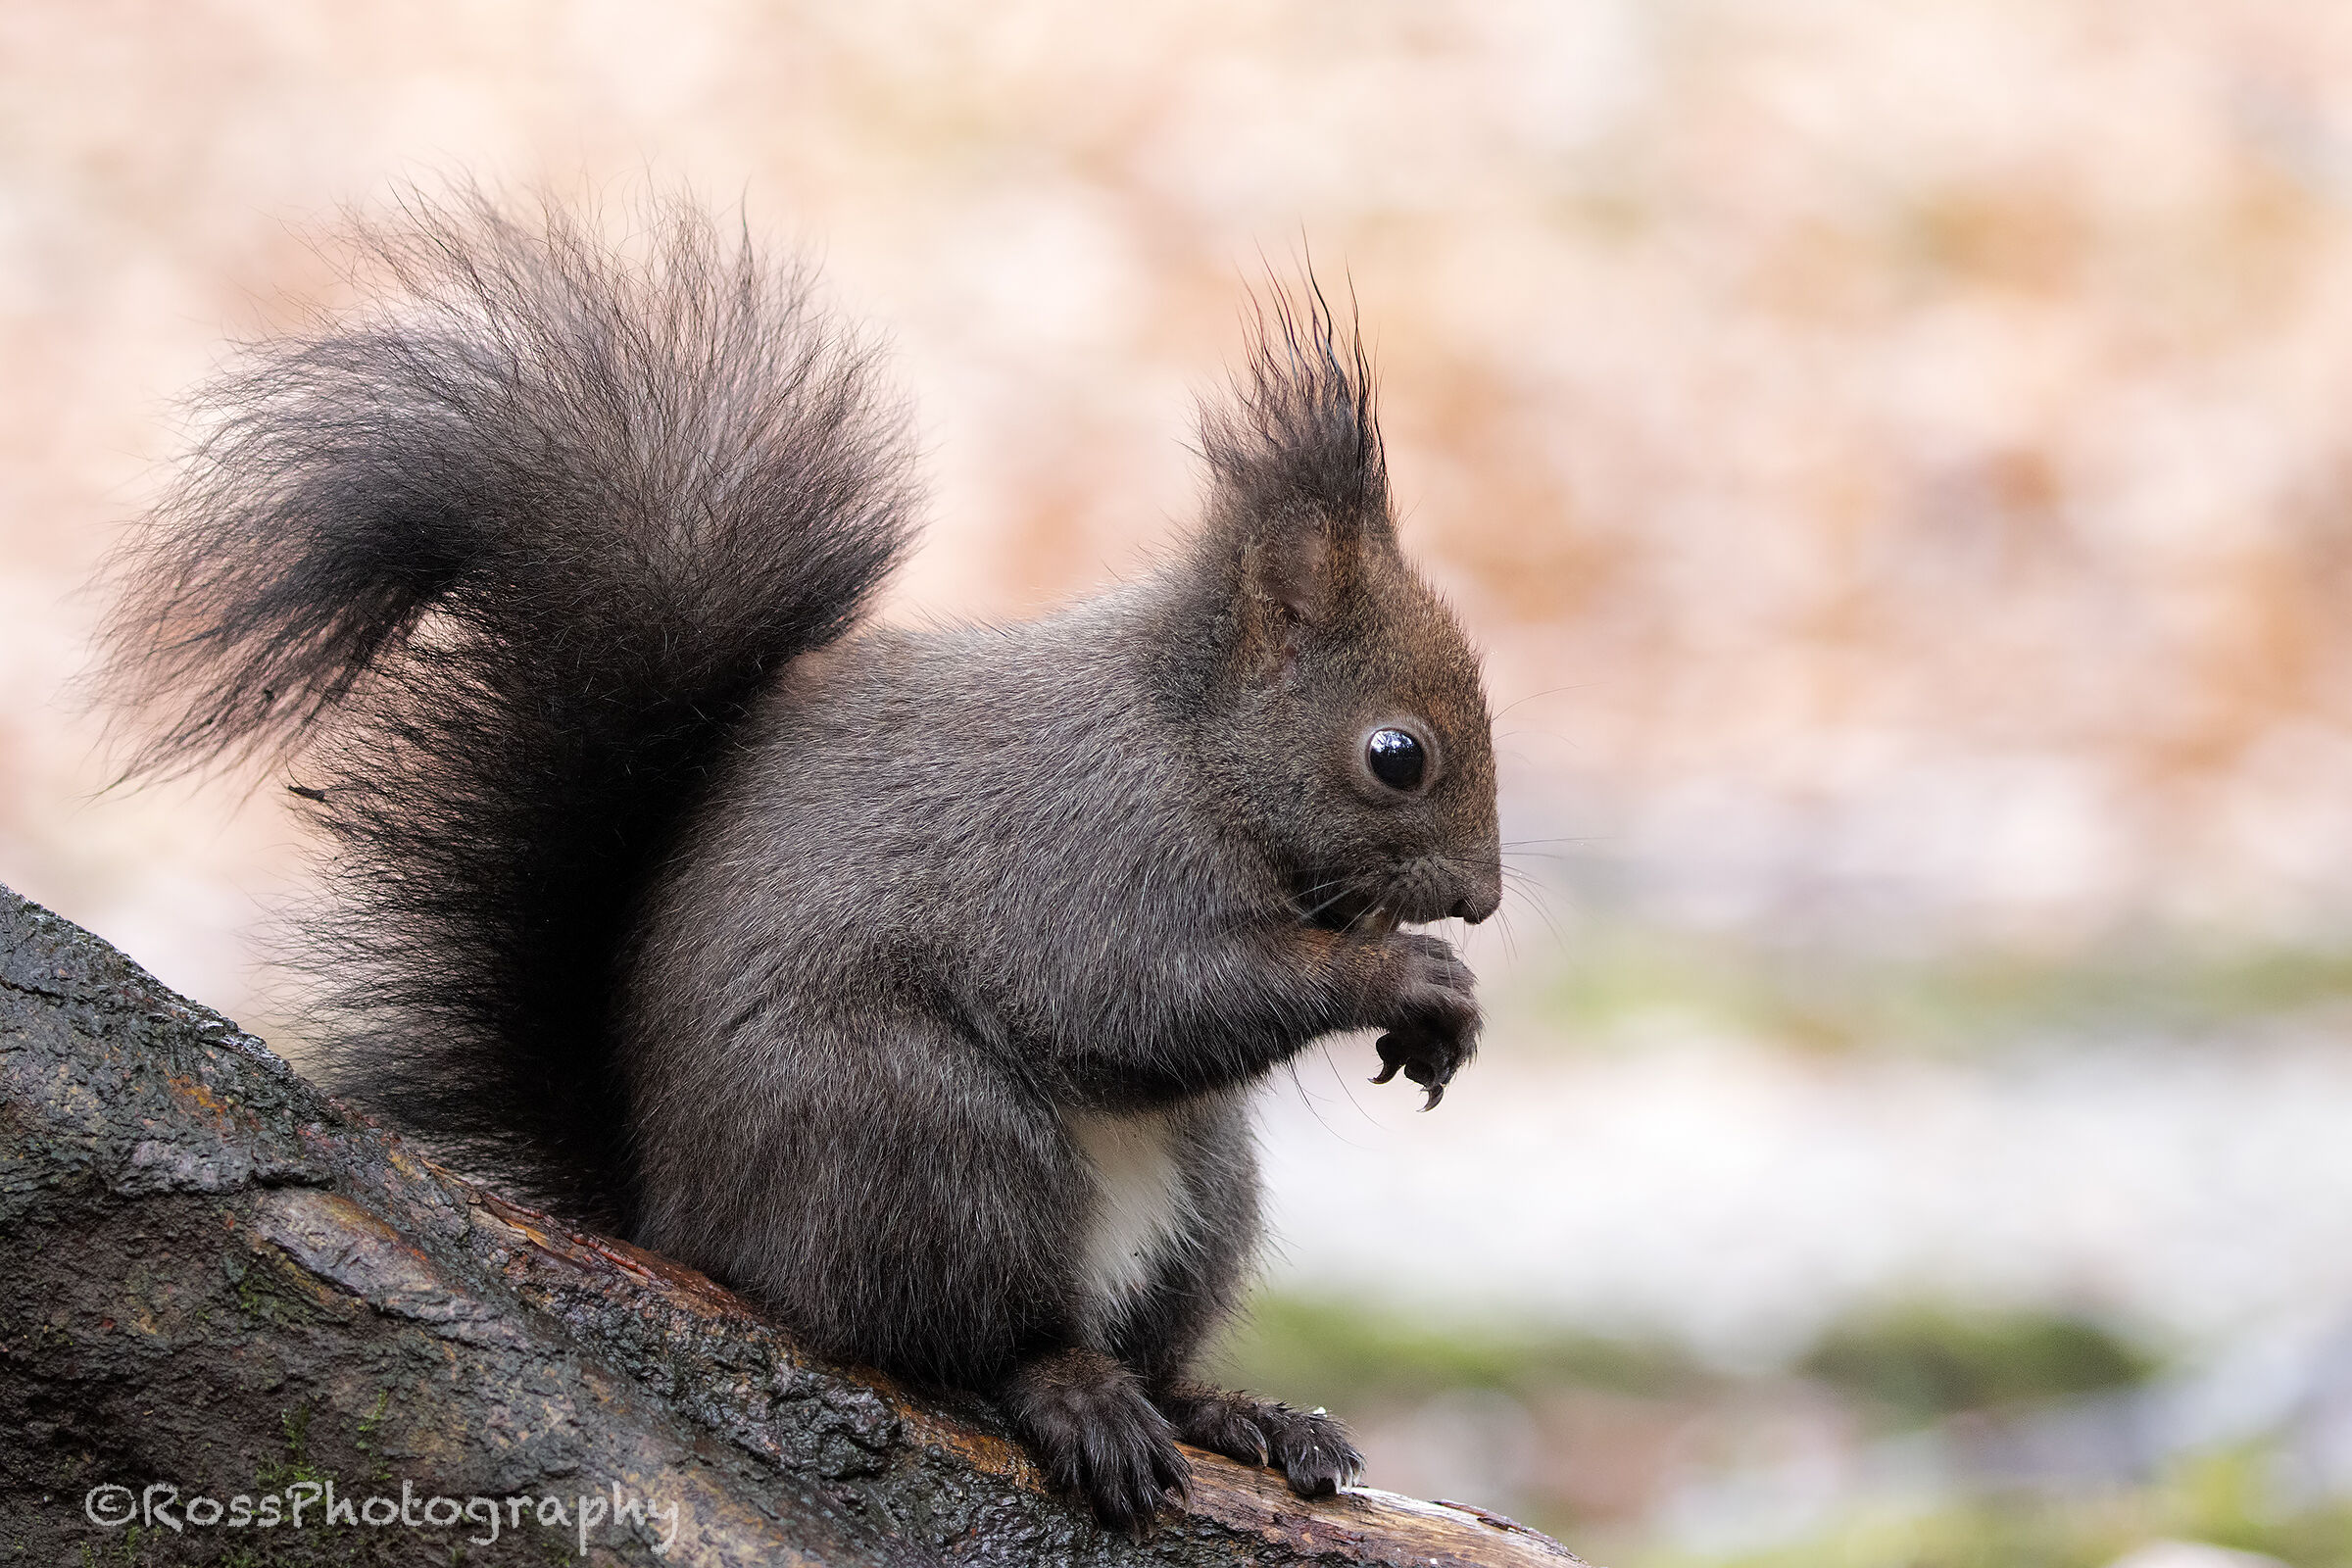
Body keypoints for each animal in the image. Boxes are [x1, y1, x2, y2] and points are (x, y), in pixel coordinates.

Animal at [97, 193, 1503, 1528]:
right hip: (923, 1140)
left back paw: (1236, 1414)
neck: (1191, 739)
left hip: (1200, 1191)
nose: (1484, 900)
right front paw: (1405, 979)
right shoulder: (1090, 854)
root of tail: (675, 1217)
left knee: (1150, 1342)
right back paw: (1073, 1389)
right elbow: (1139, 1003)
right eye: (1396, 755)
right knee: (967, 1336)